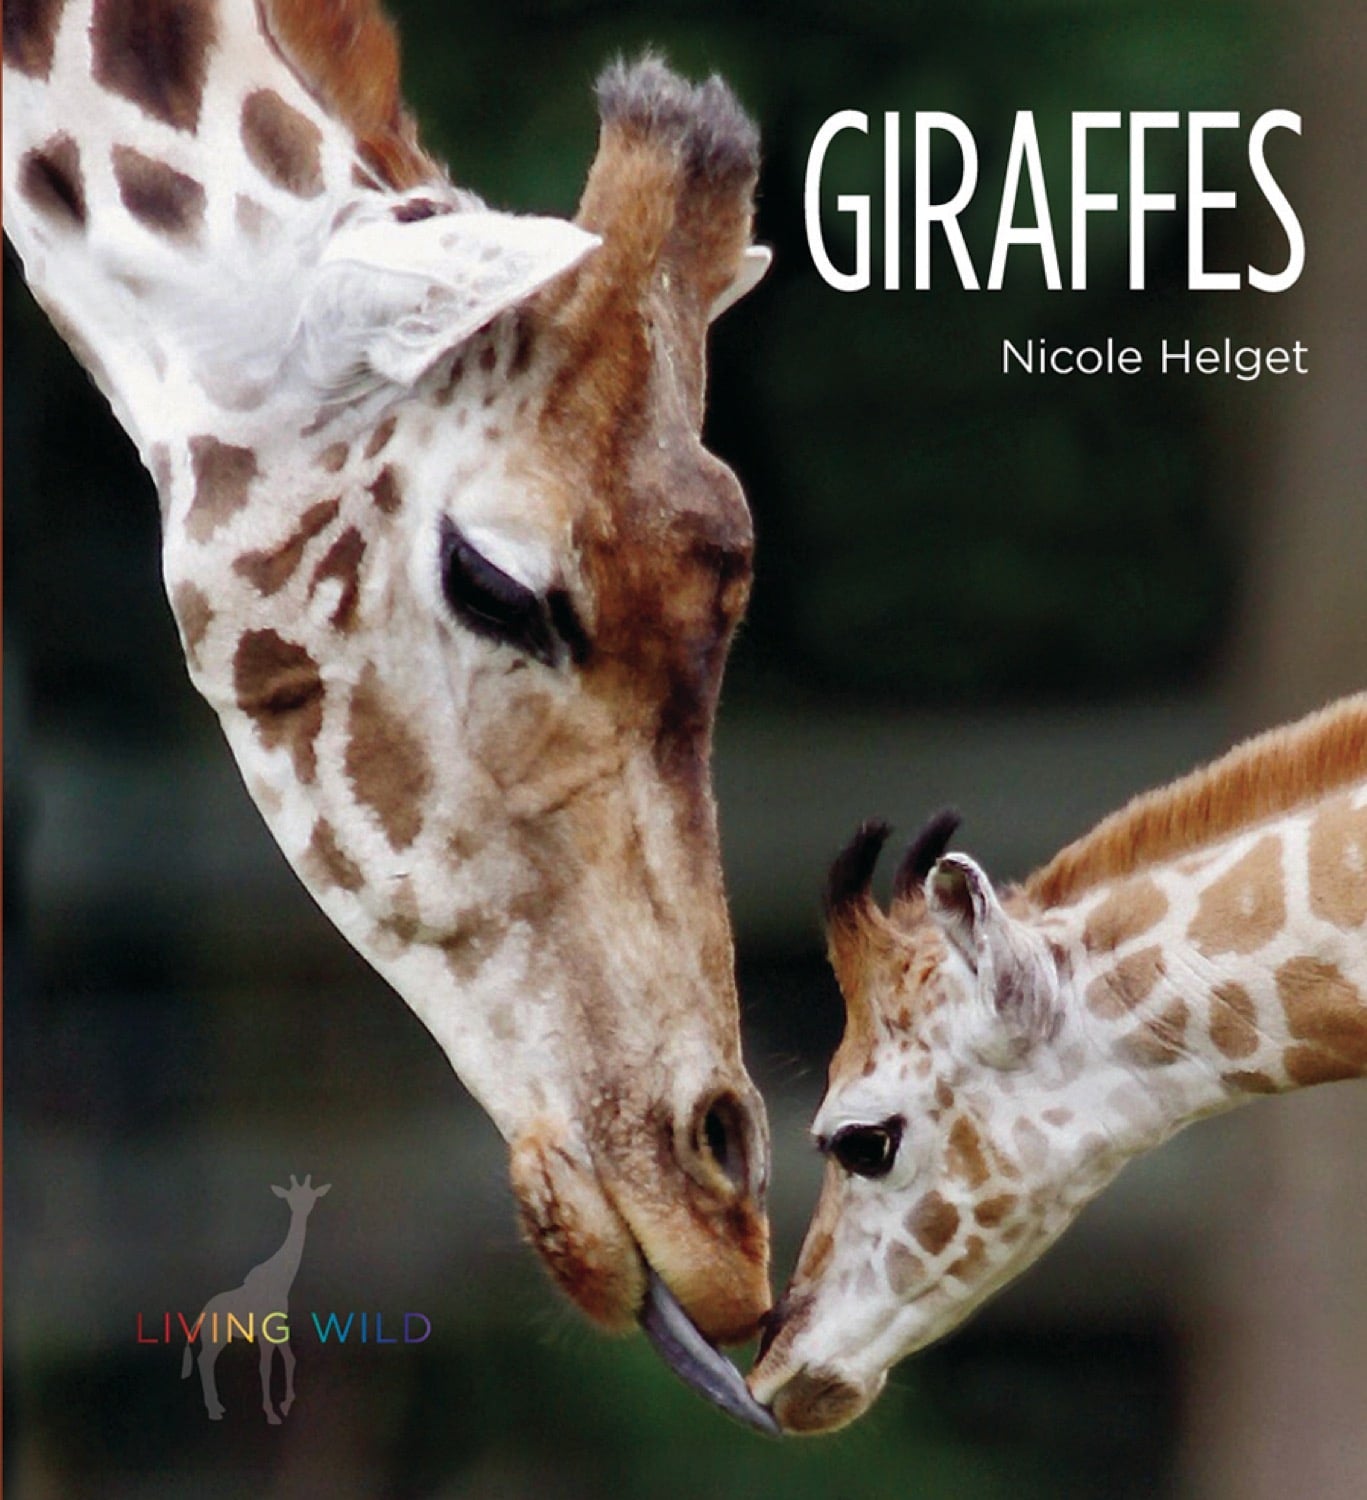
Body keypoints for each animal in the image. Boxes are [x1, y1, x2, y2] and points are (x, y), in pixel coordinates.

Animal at [182, 1175, 330, 1424]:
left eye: (310, 1197)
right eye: (291, 1199)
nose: (303, 1210)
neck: (280, 1279)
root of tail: (203, 1312)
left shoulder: (278, 1325)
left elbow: (290, 1359)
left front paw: (286, 1404)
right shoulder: (265, 1329)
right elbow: (265, 1367)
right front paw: (271, 1413)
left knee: (206, 1361)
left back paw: (218, 1407)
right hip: (216, 1336)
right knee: (204, 1361)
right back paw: (213, 1411)